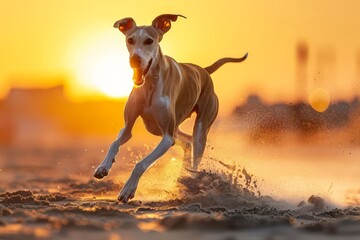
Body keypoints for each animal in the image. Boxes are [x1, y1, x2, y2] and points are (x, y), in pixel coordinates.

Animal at [93, 14, 248, 202]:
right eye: (130, 40)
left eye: (149, 41)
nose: (134, 60)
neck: (150, 84)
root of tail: (204, 71)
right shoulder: (129, 127)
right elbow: (114, 143)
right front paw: (103, 167)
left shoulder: (167, 137)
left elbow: (141, 164)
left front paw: (128, 189)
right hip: (161, 129)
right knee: (187, 142)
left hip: (200, 128)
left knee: (195, 147)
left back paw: (191, 183)